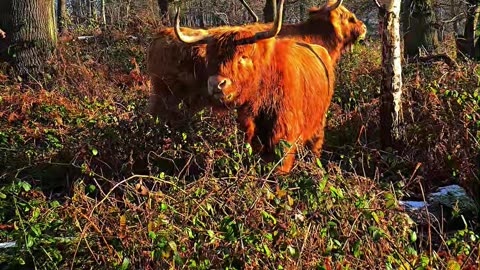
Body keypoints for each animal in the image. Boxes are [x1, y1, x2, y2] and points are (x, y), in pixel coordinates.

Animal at [174, 0, 336, 173]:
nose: (216, 83)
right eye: (211, 58)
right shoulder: (252, 132)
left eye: (243, 57)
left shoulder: (285, 133)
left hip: (319, 122)